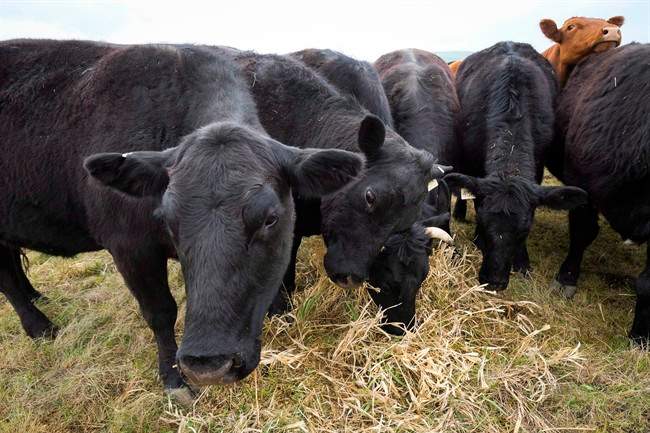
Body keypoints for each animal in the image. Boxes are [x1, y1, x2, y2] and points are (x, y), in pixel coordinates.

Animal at [0, 40, 363, 404]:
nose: (210, 364)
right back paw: (40, 327)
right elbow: (160, 312)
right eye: (167, 218)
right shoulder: (129, 247)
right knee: (7, 281)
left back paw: (37, 297)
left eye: (270, 218)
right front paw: (174, 379)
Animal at [445, 41, 588, 290]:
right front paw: (477, 240)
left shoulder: (538, 167)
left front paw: (522, 263)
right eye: (483, 222)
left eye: (524, 230)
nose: (494, 281)